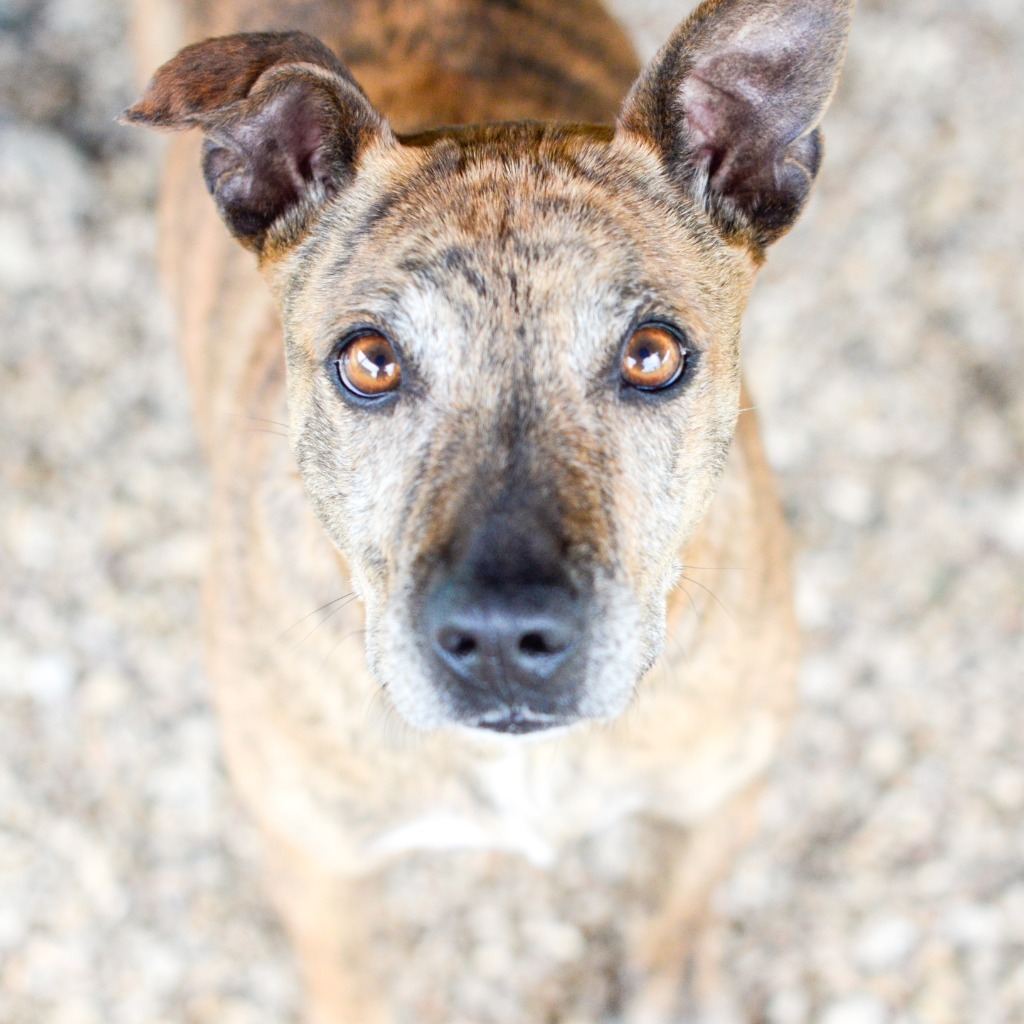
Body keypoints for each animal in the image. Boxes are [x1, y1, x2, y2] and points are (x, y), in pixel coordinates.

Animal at [125, 2, 856, 1024]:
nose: (505, 640)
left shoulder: (718, 797)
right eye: (370, 362)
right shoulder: (321, 873)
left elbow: (669, 928)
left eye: (653, 354)